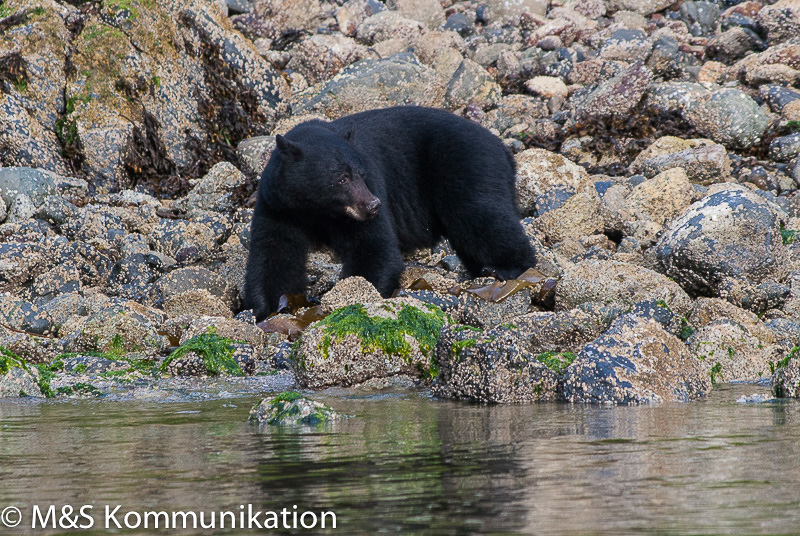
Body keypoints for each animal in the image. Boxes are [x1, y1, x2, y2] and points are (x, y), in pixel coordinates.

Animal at [241, 107, 536, 320]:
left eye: (361, 174)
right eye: (342, 179)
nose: (373, 205)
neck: (317, 211)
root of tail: (504, 149)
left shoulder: (369, 195)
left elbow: (374, 247)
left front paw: (354, 295)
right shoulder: (278, 207)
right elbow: (275, 255)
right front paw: (271, 306)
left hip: (470, 166)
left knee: (481, 216)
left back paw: (509, 267)